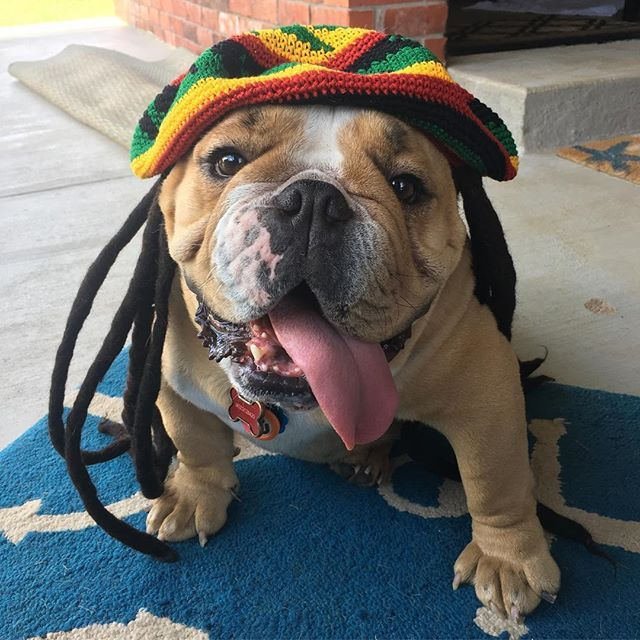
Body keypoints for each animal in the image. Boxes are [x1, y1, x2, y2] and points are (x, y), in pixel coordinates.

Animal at [140, 103, 560, 619]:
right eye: (227, 161)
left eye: (405, 186)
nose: (313, 198)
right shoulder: (167, 376)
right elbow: (194, 441)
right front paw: (193, 493)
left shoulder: (486, 391)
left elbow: (496, 480)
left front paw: (507, 559)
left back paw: (367, 458)